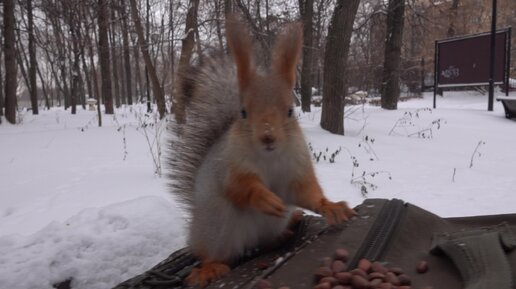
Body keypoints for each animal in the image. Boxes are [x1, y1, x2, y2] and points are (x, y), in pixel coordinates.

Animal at [169, 14, 354, 284]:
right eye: (244, 112)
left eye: (290, 111)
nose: (268, 137)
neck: (270, 157)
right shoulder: (230, 168)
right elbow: (239, 188)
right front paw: (265, 198)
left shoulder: (297, 169)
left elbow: (305, 192)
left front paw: (330, 206)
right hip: (217, 232)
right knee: (215, 255)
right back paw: (209, 269)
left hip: (266, 228)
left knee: (268, 242)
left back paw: (288, 228)